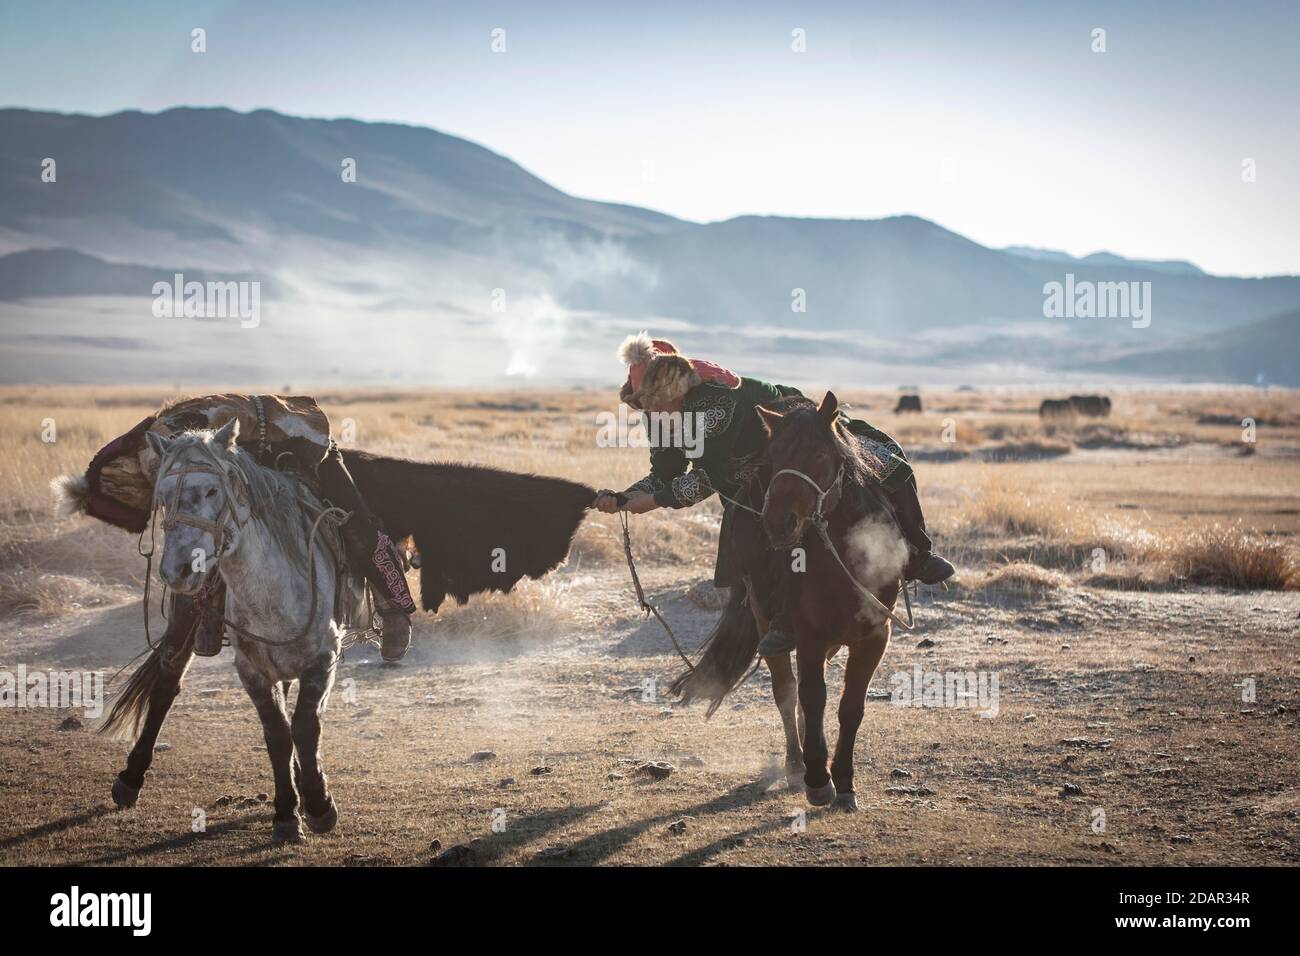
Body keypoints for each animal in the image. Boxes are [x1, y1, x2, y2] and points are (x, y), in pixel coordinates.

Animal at [670, 392, 904, 811]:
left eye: (818, 452)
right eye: (775, 455)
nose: (779, 522)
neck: (847, 559)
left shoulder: (876, 636)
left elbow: (851, 706)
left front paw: (844, 783)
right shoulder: (809, 635)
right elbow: (810, 697)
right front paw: (818, 780)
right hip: (771, 625)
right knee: (786, 691)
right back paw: (797, 764)